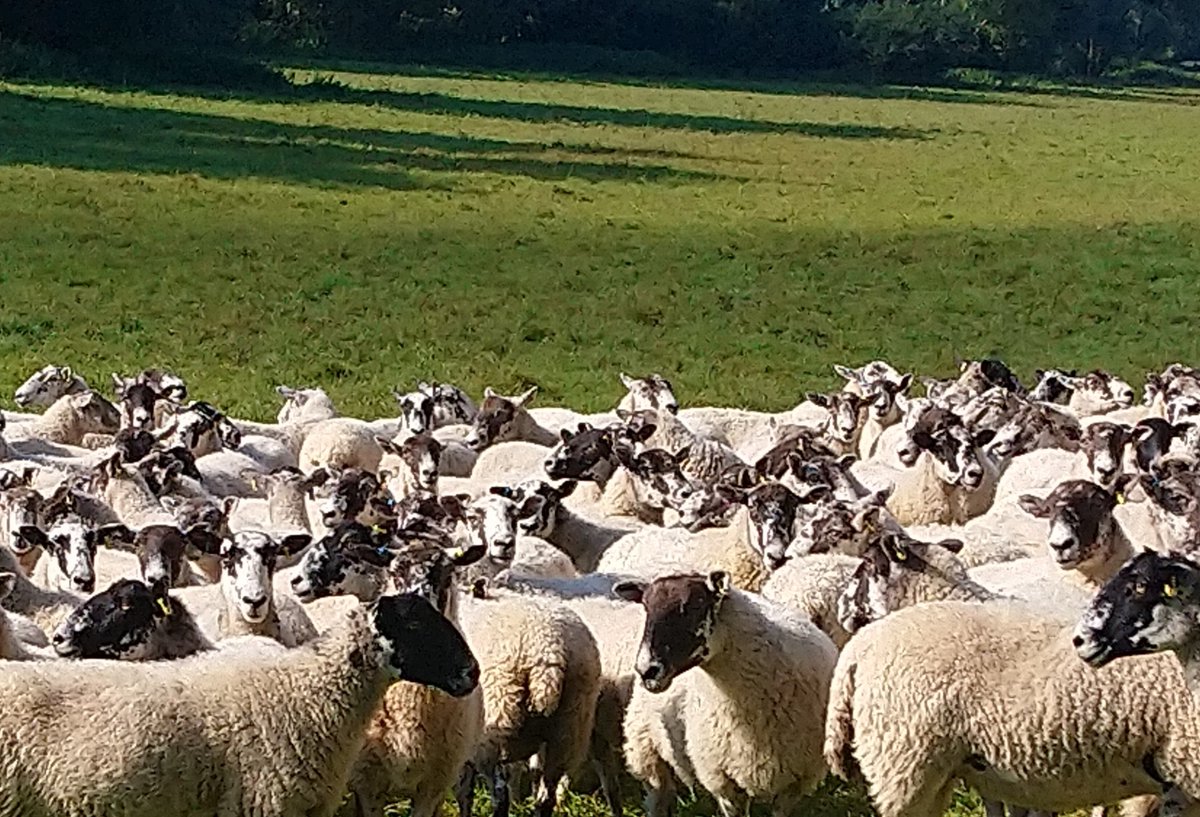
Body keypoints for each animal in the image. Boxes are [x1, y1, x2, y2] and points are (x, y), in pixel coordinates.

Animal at [615, 571, 837, 817]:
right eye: (646, 607)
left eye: (694, 606)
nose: (646, 670)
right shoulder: (722, 779)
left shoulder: (796, 781)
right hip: (647, 747)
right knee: (658, 797)